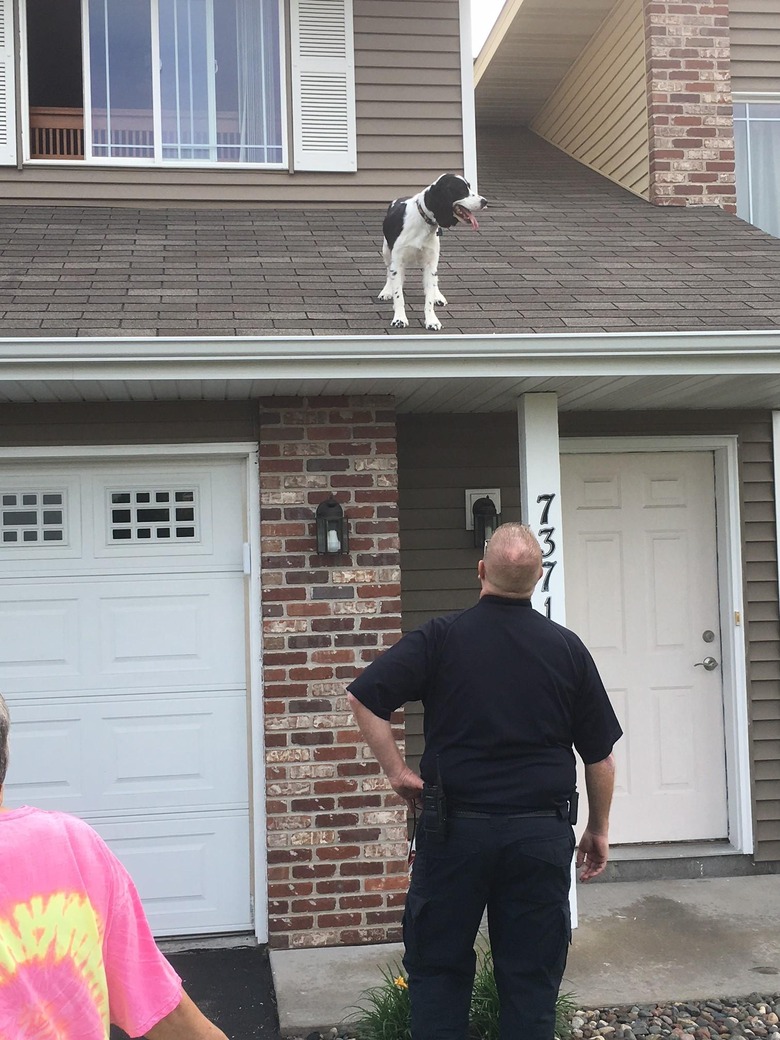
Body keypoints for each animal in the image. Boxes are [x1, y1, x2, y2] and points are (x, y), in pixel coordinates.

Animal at [378, 172, 488, 330]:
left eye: (469, 187)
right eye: (461, 190)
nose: (485, 201)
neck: (423, 222)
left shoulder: (430, 263)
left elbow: (429, 296)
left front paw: (432, 321)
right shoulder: (397, 261)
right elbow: (398, 293)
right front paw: (399, 318)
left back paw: (438, 296)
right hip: (386, 251)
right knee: (388, 271)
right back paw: (387, 291)